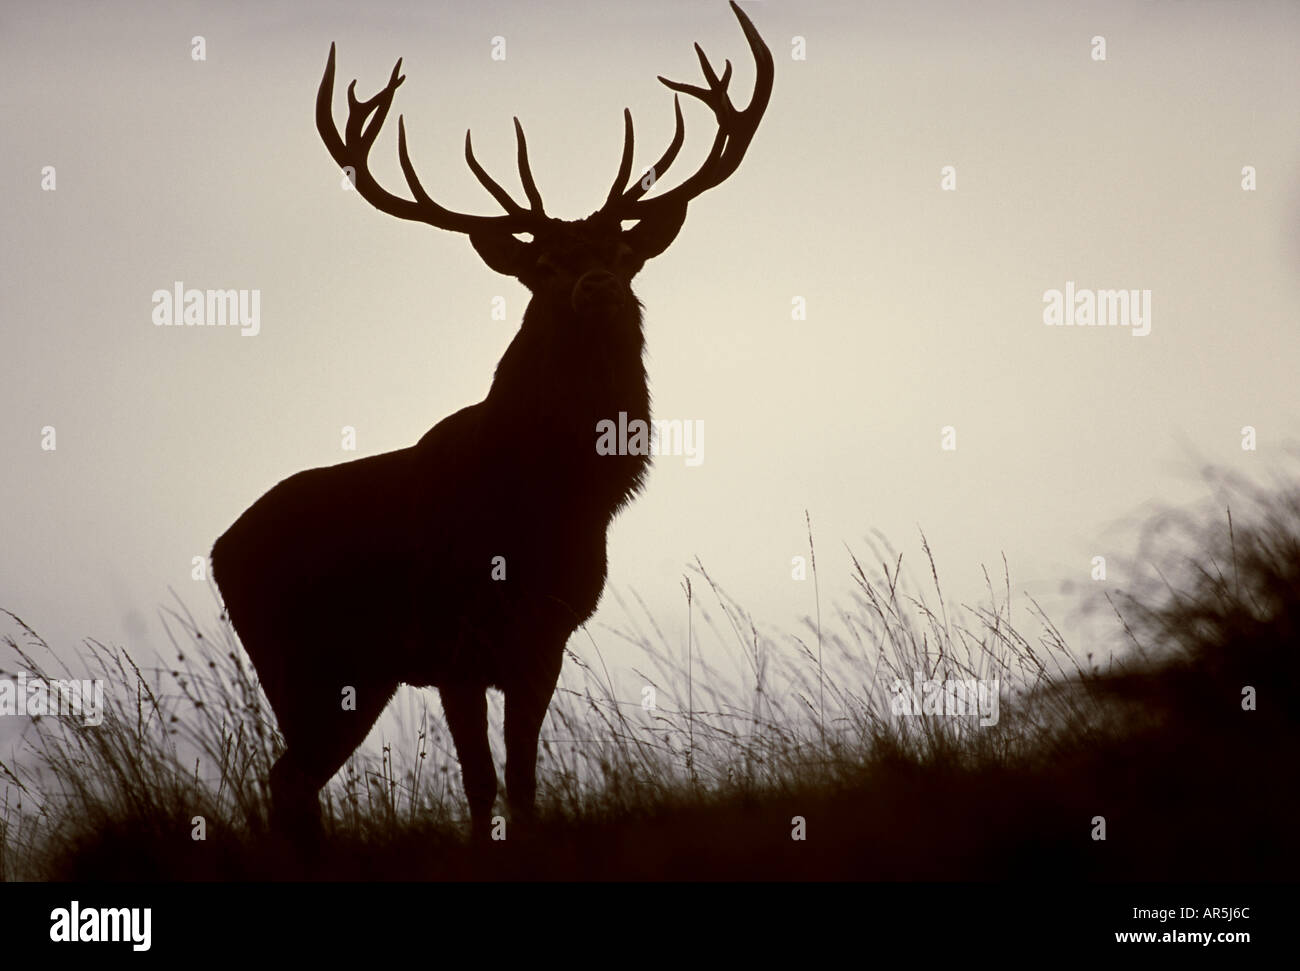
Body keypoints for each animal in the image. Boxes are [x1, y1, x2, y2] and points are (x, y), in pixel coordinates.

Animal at [211, 1, 772, 842]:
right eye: (543, 265)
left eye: (624, 253)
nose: (597, 285)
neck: (544, 502)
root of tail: (218, 549)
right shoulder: (454, 642)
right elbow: (480, 784)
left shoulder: (546, 638)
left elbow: (524, 778)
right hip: (305, 661)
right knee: (288, 779)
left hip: (351, 674)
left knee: (291, 779)